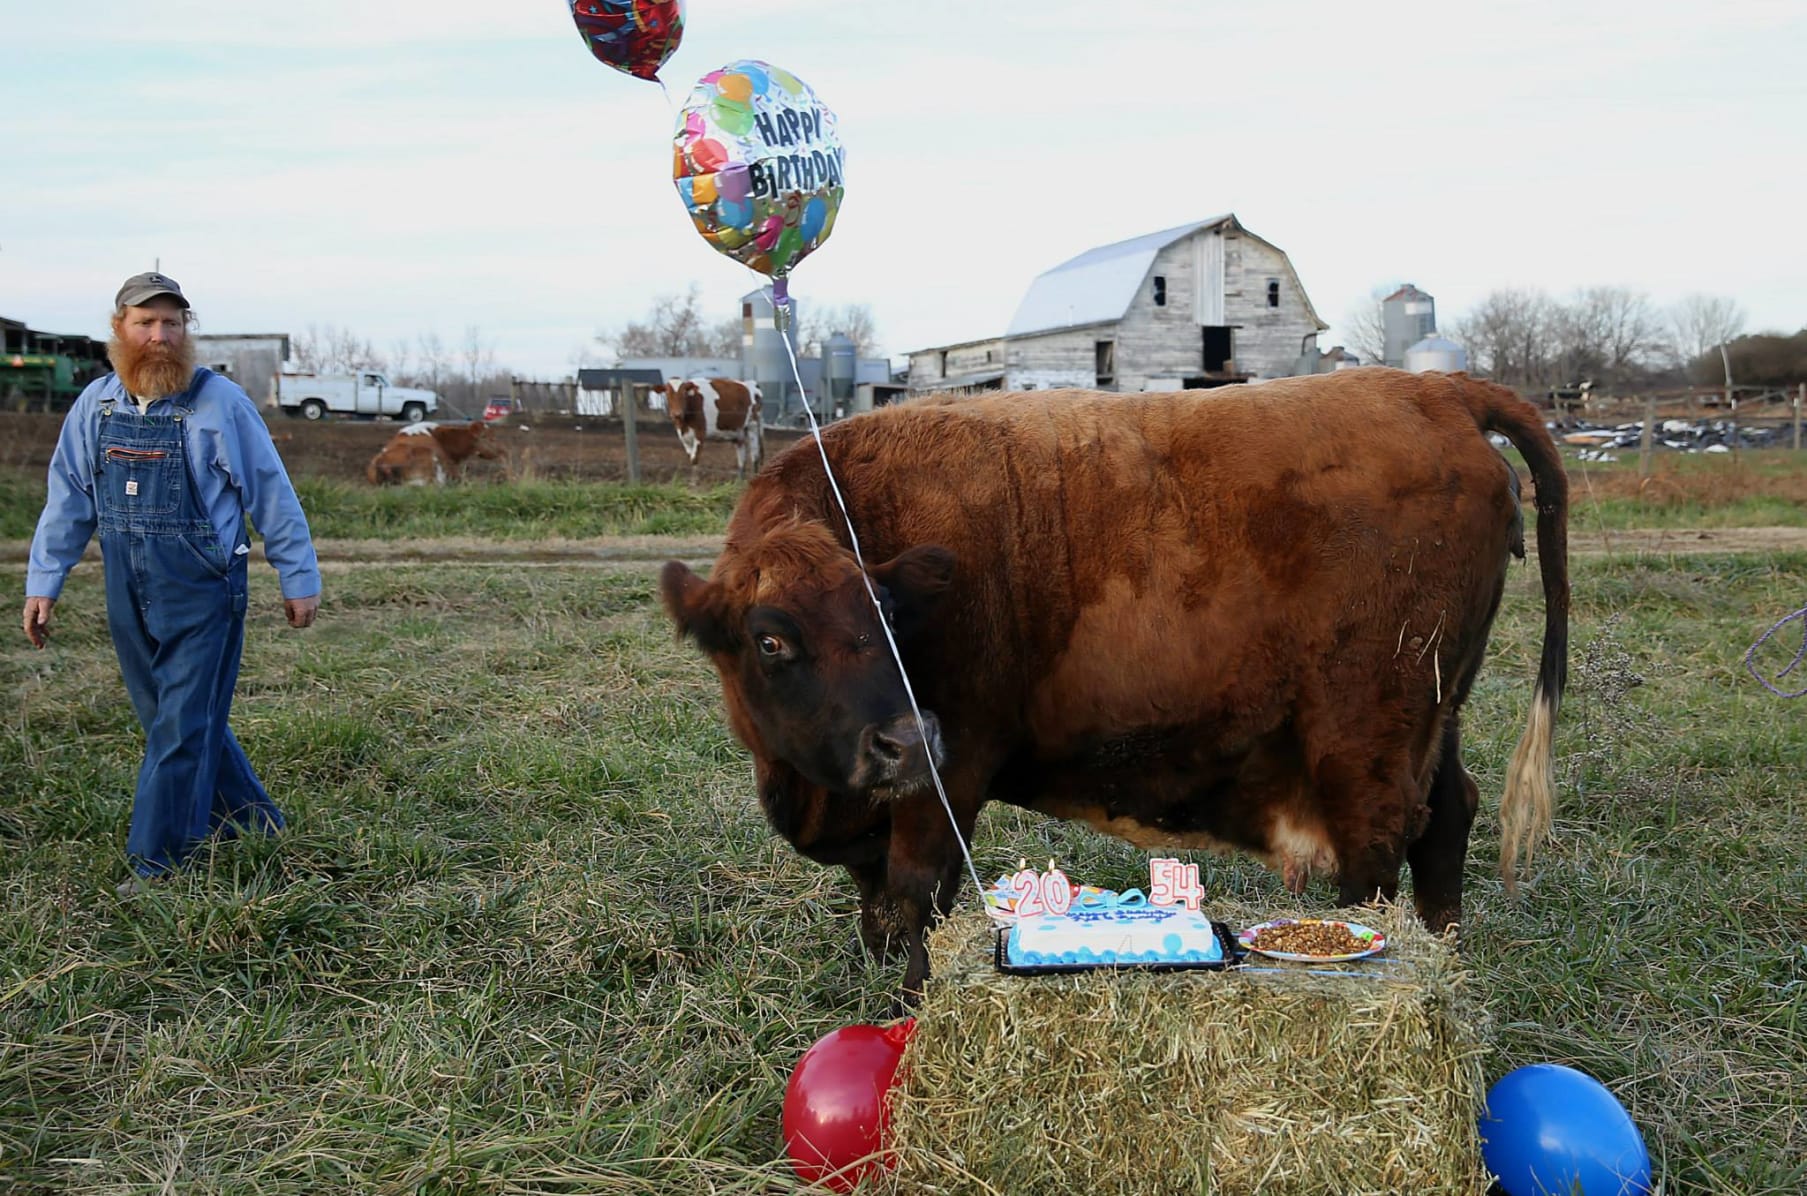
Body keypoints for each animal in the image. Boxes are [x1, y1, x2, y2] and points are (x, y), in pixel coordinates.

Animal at [664, 372, 1568, 1004]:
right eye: (771, 639)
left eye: (885, 612)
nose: (904, 738)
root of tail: (1435, 387)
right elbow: (879, 901)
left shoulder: (946, 779)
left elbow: (918, 895)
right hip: (1433, 718)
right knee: (1448, 817)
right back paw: (1450, 965)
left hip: (1364, 740)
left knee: (1378, 853)